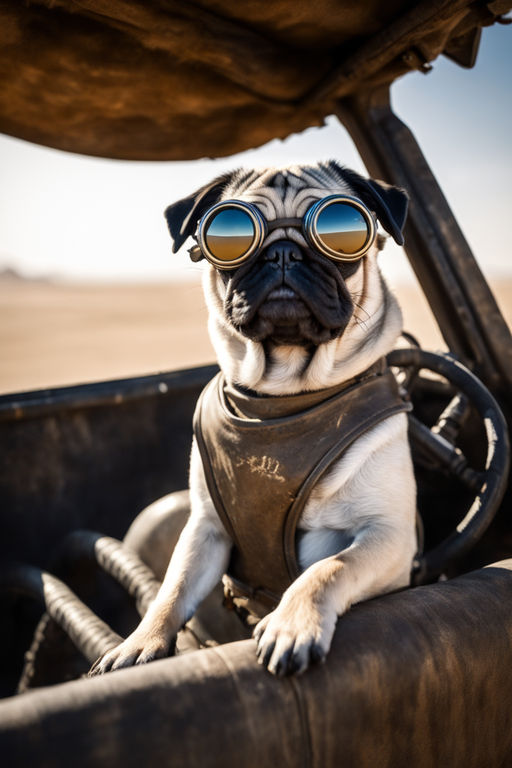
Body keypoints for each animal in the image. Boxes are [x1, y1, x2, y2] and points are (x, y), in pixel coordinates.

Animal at [90, 162, 418, 680]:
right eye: (232, 238)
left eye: (341, 233)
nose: (282, 251)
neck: (285, 394)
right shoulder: (204, 528)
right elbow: (171, 591)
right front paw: (139, 643)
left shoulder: (389, 536)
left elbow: (328, 569)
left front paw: (292, 624)